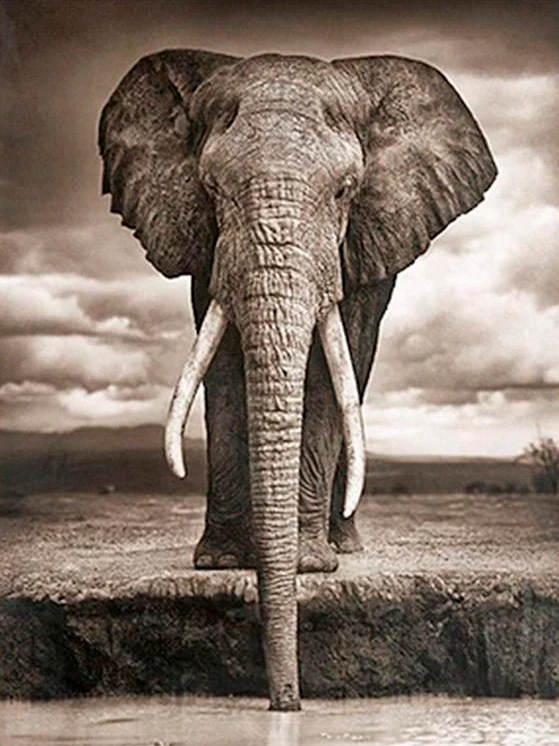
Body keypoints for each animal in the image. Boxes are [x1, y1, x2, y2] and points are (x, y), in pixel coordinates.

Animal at [99, 49, 496, 710]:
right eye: (211, 187)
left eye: (345, 190)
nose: (287, 702)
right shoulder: (208, 246)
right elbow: (224, 368)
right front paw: (223, 562)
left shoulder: (358, 240)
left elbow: (329, 375)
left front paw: (309, 566)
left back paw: (343, 546)